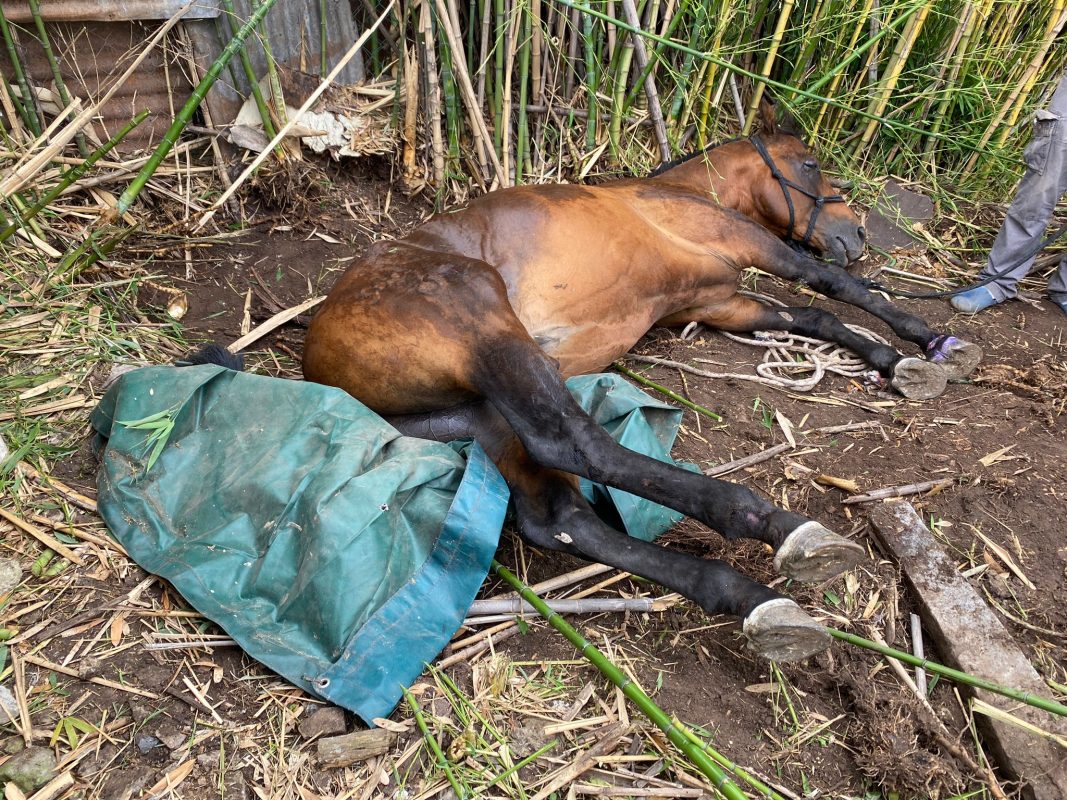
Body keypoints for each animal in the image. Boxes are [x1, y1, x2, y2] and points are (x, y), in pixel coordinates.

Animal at [302, 104, 982, 661]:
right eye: (810, 164)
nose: (856, 233)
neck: (676, 193)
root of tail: (318, 361)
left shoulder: (721, 304)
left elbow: (816, 318)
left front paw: (893, 359)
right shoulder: (753, 243)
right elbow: (834, 286)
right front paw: (931, 344)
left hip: (485, 412)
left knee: (558, 515)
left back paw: (749, 600)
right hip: (491, 332)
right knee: (575, 443)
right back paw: (773, 526)